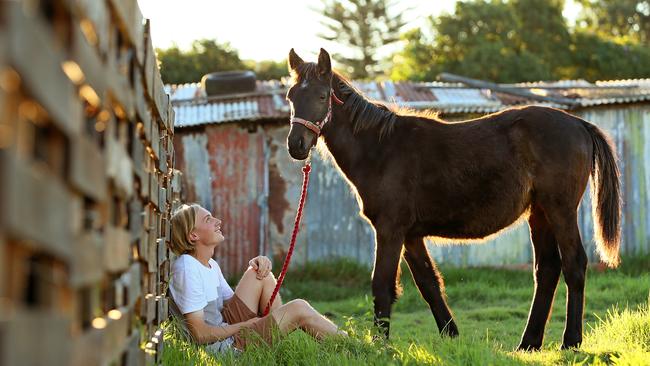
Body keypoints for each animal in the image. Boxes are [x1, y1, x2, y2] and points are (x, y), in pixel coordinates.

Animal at [284, 47, 616, 350]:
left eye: (322, 96)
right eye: (290, 96)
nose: (296, 145)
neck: (381, 149)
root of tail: (579, 124)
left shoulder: (390, 230)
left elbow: (382, 285)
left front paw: (380, 345)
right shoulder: (411, 235)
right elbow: (429, 284)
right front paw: (452, 335)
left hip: (560, 210)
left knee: (574, 265)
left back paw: (570, 342)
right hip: (540, 213)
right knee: (547, 270)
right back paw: (528, 344)